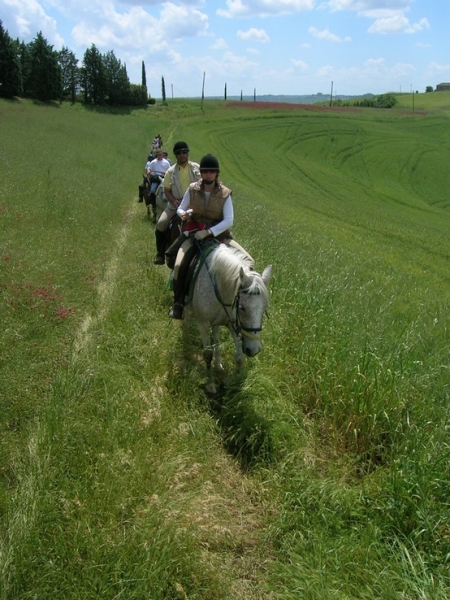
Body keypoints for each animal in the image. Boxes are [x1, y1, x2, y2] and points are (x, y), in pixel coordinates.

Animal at [183, 241, 270, 392]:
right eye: (242, 308)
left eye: (265, 308)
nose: (254, 350)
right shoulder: (203, 323)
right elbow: (207, 354)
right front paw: (211, 384)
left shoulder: (233, 323)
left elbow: (239, 357)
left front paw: (234, 382)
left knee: (216, 337)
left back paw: (219, 365)